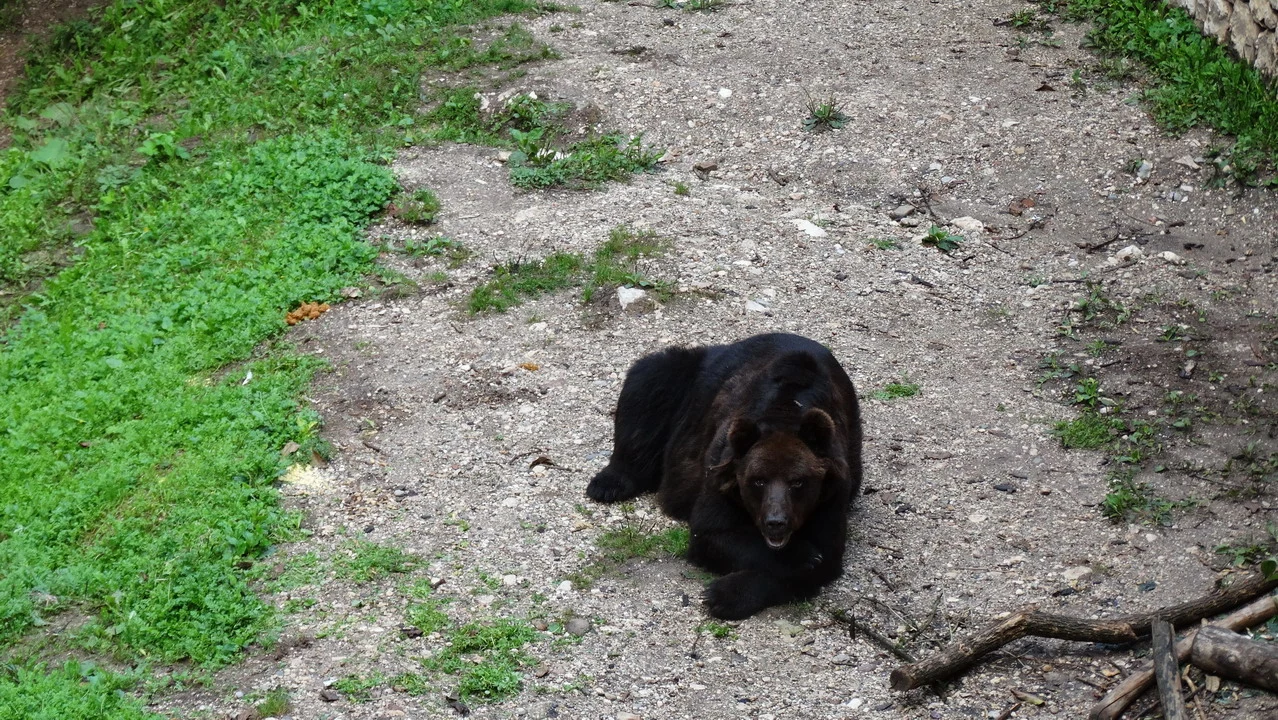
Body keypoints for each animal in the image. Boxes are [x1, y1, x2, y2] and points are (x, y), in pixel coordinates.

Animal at [586, 332, 862, 620]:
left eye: (798, 482)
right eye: (758, 480)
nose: (776, 522)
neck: (786, 409)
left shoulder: (831, 493)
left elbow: (824, 559)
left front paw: (726, 594)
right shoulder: (721, 474)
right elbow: (714, 532)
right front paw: (802, 554)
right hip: (687, 382)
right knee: (648, 382)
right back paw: (609, 484)